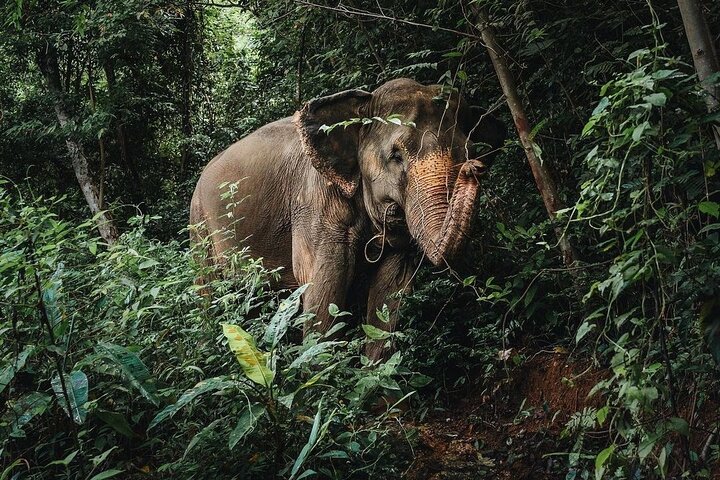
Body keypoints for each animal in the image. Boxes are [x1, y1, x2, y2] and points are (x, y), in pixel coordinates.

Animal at [190, 78, 504, 360]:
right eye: (396, 155)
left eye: (467, 151)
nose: (473, 167)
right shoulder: (314, 202)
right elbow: (324, 287)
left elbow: (391, 291)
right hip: (199, 226)